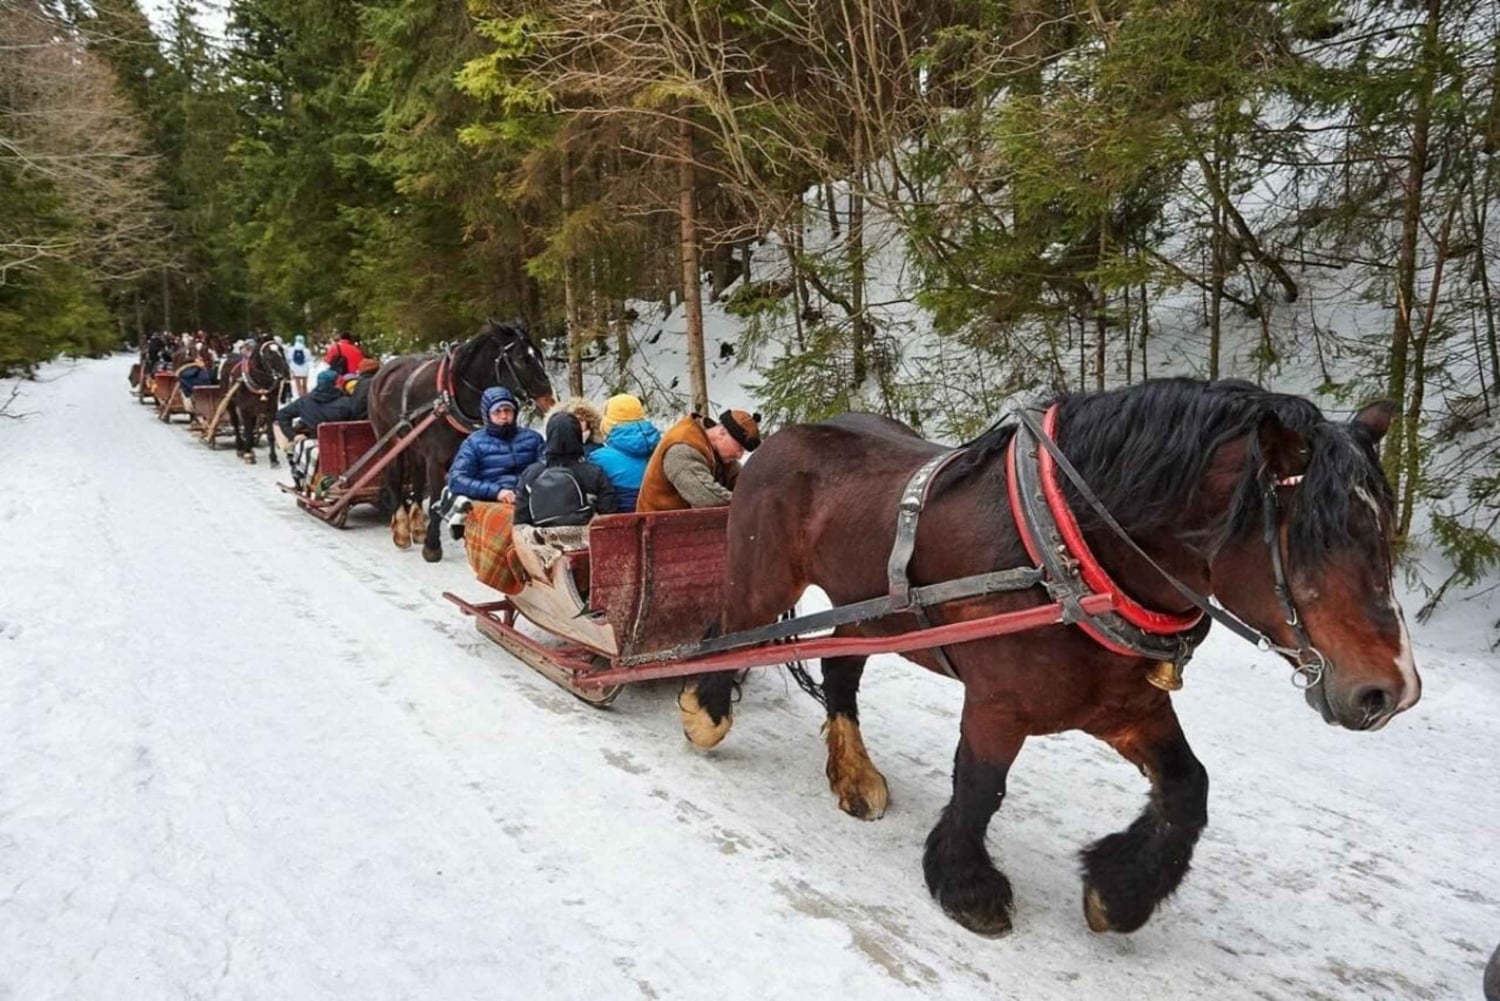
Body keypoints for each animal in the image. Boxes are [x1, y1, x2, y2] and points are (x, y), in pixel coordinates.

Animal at [216, 337, 289, 466]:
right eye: (269, 354)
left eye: (281, 350)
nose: (286, 371)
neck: (260, 384)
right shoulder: (245, 409)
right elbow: (247, 431)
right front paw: (248, 454)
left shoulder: (271, 409)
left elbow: (270, 434)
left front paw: (273, 458)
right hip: (230, 404)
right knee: (236, 424)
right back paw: (241, 447)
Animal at [367, 318, 555, 563]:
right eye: (522, 359)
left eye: (540, 355)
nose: (550, 400)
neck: (451, 396)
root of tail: (382, 372)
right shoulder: (437, 460)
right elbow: (436, 499)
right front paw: (432, 546)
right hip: (389, 439)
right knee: (393, 476)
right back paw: (401, 529)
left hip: (414, 444)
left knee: (416, 478)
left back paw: (416, 527)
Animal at [680, 378, 1421, 937]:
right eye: (1316, 538)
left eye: (1382, 530)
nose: (1392, 692)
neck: (1072, 553)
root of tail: (783, 437)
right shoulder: (998, 703)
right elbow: (980, 787)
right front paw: (968, 887)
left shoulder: (1126, 704)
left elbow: (1189, 786)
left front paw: (1119, 891)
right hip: (763, 580)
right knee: (724, 631)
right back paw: (704, 711)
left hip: (868, 610)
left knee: (840, 671)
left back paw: (854, 776)